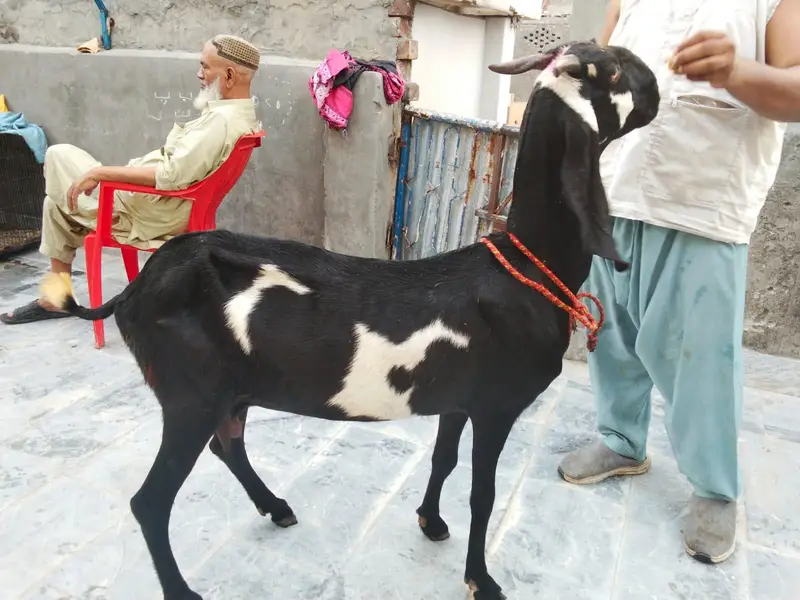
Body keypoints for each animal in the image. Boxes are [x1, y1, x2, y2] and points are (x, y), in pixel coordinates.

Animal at [42, 40, 660, 600]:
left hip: (228, 390)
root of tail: (137, 290)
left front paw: (430, 522)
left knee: (228, 446)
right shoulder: (497, 404)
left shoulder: (458, 400)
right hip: (189, 393)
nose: (656, 82)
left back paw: (277, 507)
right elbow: (482, 493)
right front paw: (481, 580)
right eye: (612, 70)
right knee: (150, 501)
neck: (524, 267)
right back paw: (184, 588)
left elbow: (443, 458)